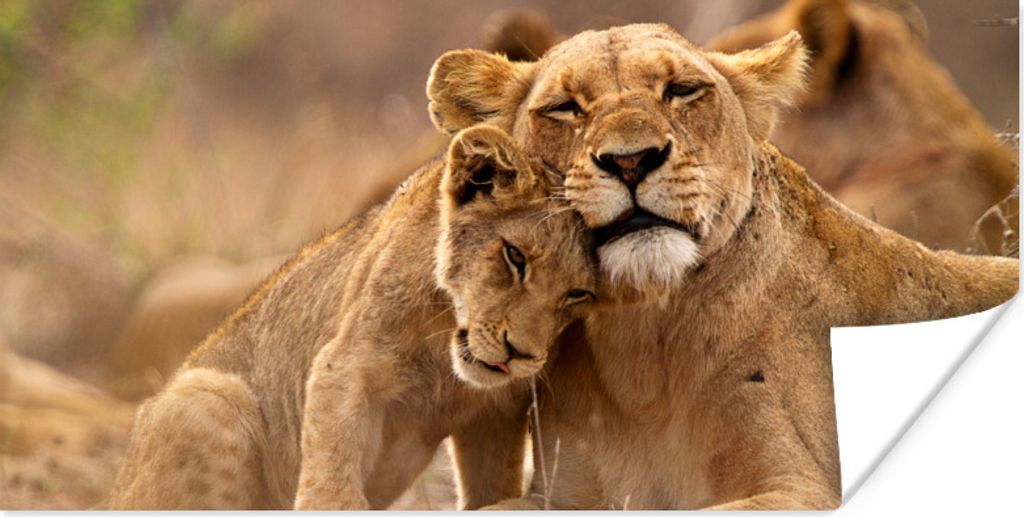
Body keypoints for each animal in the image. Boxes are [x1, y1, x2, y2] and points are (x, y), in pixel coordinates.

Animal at [106, 125, 597, 510]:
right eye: (515, 256)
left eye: (578, 294)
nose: (520, 355)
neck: (446, 356)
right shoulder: (344, 368)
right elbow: (333, 483)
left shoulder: (495, 412)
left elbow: (493, 488)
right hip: (206, 397)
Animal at [425, 24, 1018, 509]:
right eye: (566, 107)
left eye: (682, 90)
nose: (630, 160)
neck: (641, 347)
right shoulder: (560, 494)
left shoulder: (800, 485)